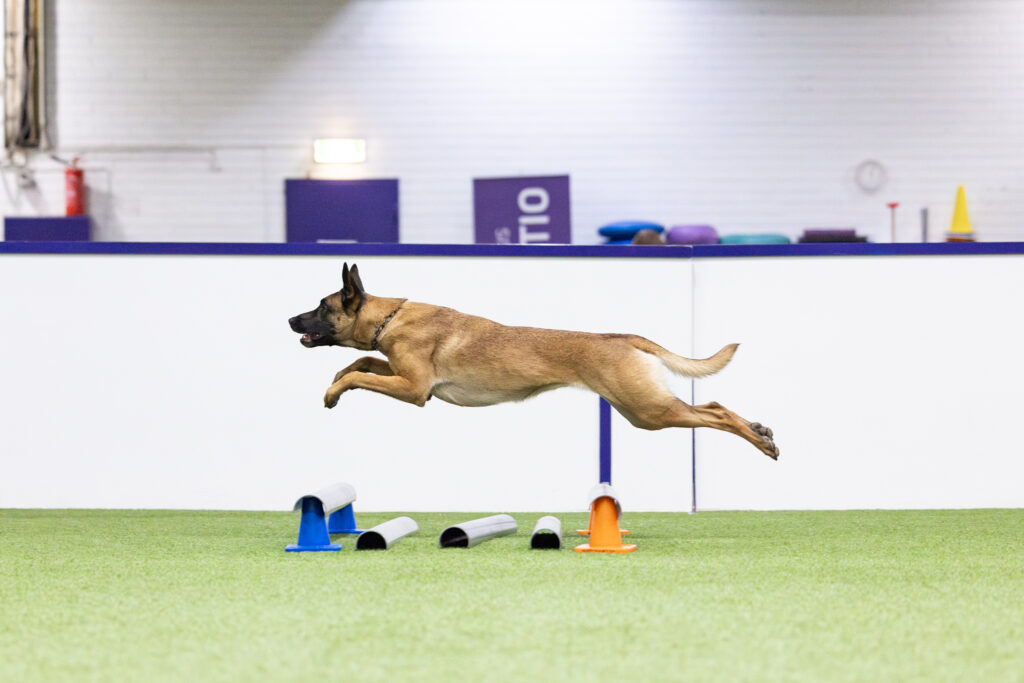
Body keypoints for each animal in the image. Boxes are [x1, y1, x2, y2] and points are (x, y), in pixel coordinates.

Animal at [289, 263, 778, 459]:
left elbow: (359, 377)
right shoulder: (404, 375)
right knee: (711, 405)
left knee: (714, 413)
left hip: (649, 411)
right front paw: (335, 381)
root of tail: (621, 337)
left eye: (321, 306)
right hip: (641, 412)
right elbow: (359, 367)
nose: (290, 319)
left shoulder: (414, 390)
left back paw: (761, 441)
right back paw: (760, 430)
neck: (390, 318)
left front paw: (333, 392)